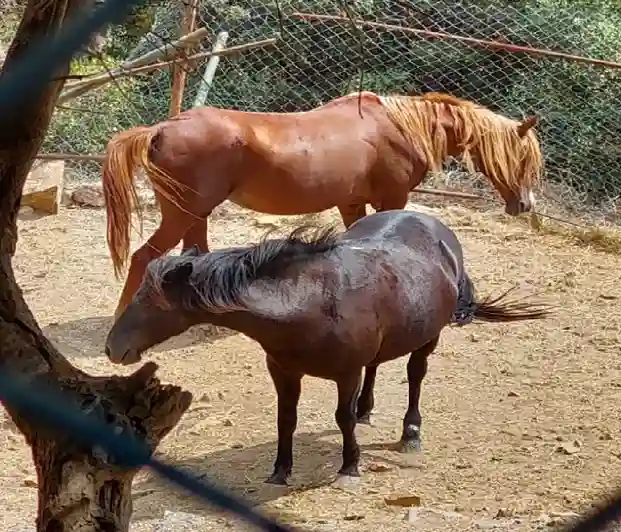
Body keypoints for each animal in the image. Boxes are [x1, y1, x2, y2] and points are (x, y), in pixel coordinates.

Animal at [103, 90, 544, 320]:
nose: (525, 205)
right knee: (144, 257)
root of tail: (161, 128)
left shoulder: (351, 203)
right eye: (522, 157)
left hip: (196, 214)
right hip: (183, 213)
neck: (400, 129)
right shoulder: (392, 199)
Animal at [105, 208, 548, 486]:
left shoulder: (345, 374)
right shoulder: (283, 371)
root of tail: (437, 230)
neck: (310, 303)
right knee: (376, 368)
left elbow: (342, 418)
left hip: (428, 338)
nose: (113, 348)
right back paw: (369, 408)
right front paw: (280, 471)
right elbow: (286, 419)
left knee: (415, 375)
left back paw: (410, 432)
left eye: (151, 302)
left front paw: (350, 465)